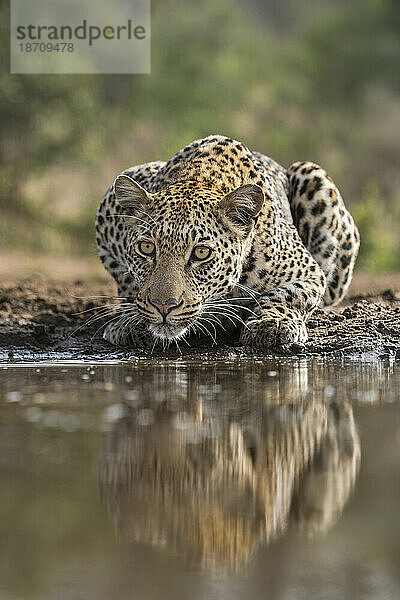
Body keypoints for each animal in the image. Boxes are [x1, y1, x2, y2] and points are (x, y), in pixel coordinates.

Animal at [94, 135, 360, 352]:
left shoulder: (308, 271)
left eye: (201, 253)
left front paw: (271, 323)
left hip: (313, 175)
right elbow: (128, 282)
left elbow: (288, 295)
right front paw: (132, 322)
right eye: (147, 248)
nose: (164, 307)